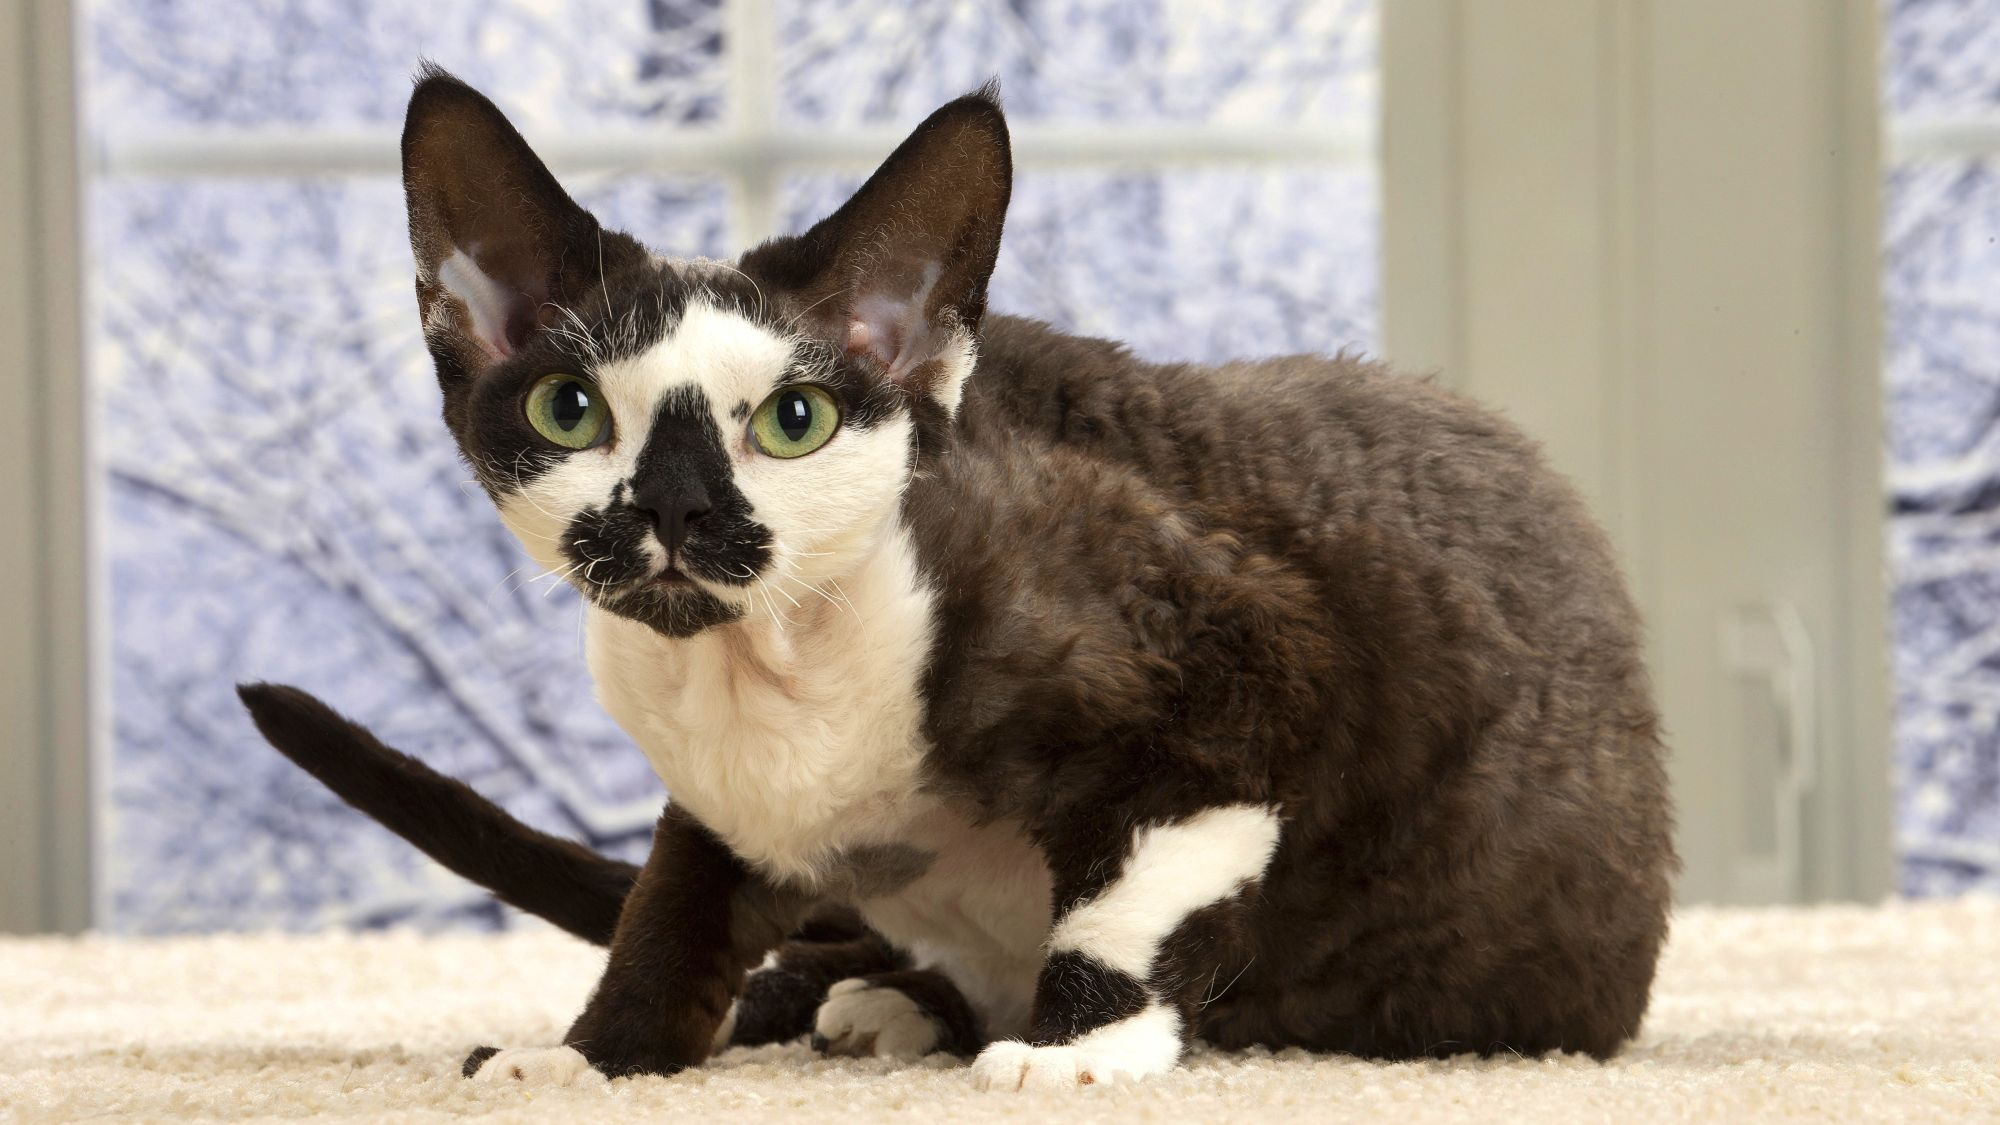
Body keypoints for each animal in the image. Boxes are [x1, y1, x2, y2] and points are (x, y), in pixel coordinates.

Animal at [238, 65, 1672, 1088]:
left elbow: (1120, 900)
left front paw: (1073, 1050)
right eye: (569, 409)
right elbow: (668, 916)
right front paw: (590, 1058)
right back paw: (879, 1003)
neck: (761, 673)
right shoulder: (714, 801)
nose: (676, 505)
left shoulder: (1254, 664)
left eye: (796, 420)